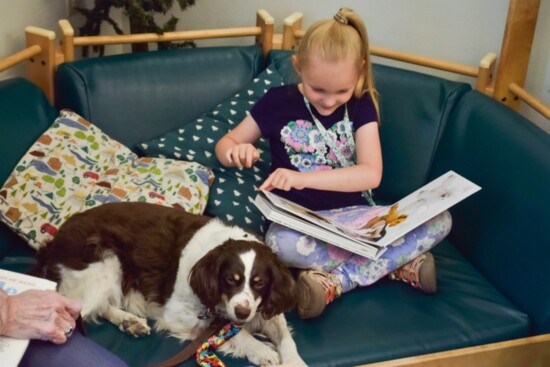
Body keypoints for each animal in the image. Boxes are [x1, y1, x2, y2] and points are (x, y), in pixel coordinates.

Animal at [32, 203, 308, 366]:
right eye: (231, 279)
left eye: (260, 284)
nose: (242, 313)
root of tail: (52, 242)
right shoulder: (178, 314)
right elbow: (239, 334)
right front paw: (261, 350)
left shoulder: (263, 309)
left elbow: (286, 338)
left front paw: (294, 361)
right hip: (105, 262)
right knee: (73, 309)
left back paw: (129, 322)